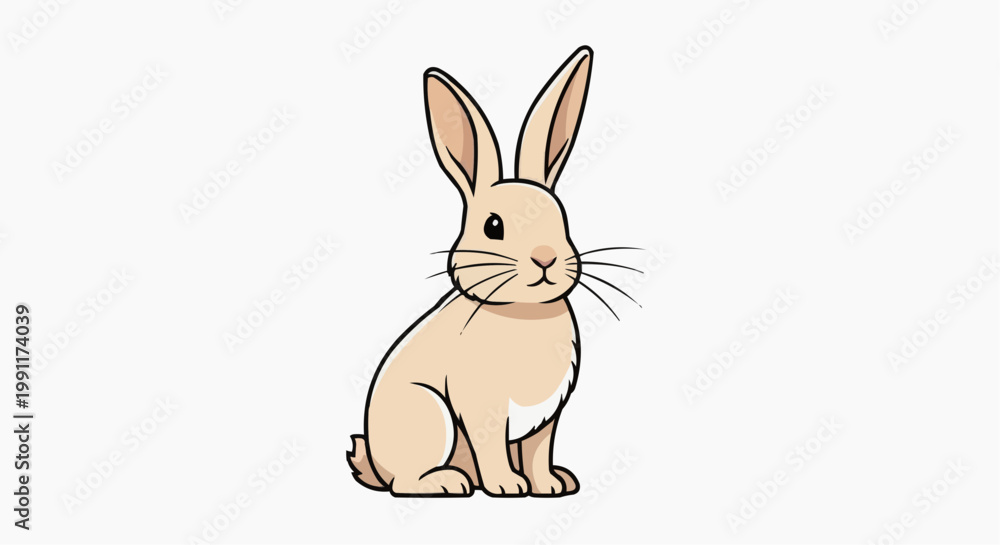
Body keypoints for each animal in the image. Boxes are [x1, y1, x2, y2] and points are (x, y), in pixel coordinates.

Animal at [349, 46, 596, 497]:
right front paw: (508, 486)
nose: (546, 258)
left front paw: (550, 485)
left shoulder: (546, 420)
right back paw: (449, 482)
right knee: (405, 481)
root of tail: (375, 464)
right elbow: (494, 449)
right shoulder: (483, 409)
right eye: (493, 226)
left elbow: (538, 452)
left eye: (562, 219)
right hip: (430, 415)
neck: (522, 311)